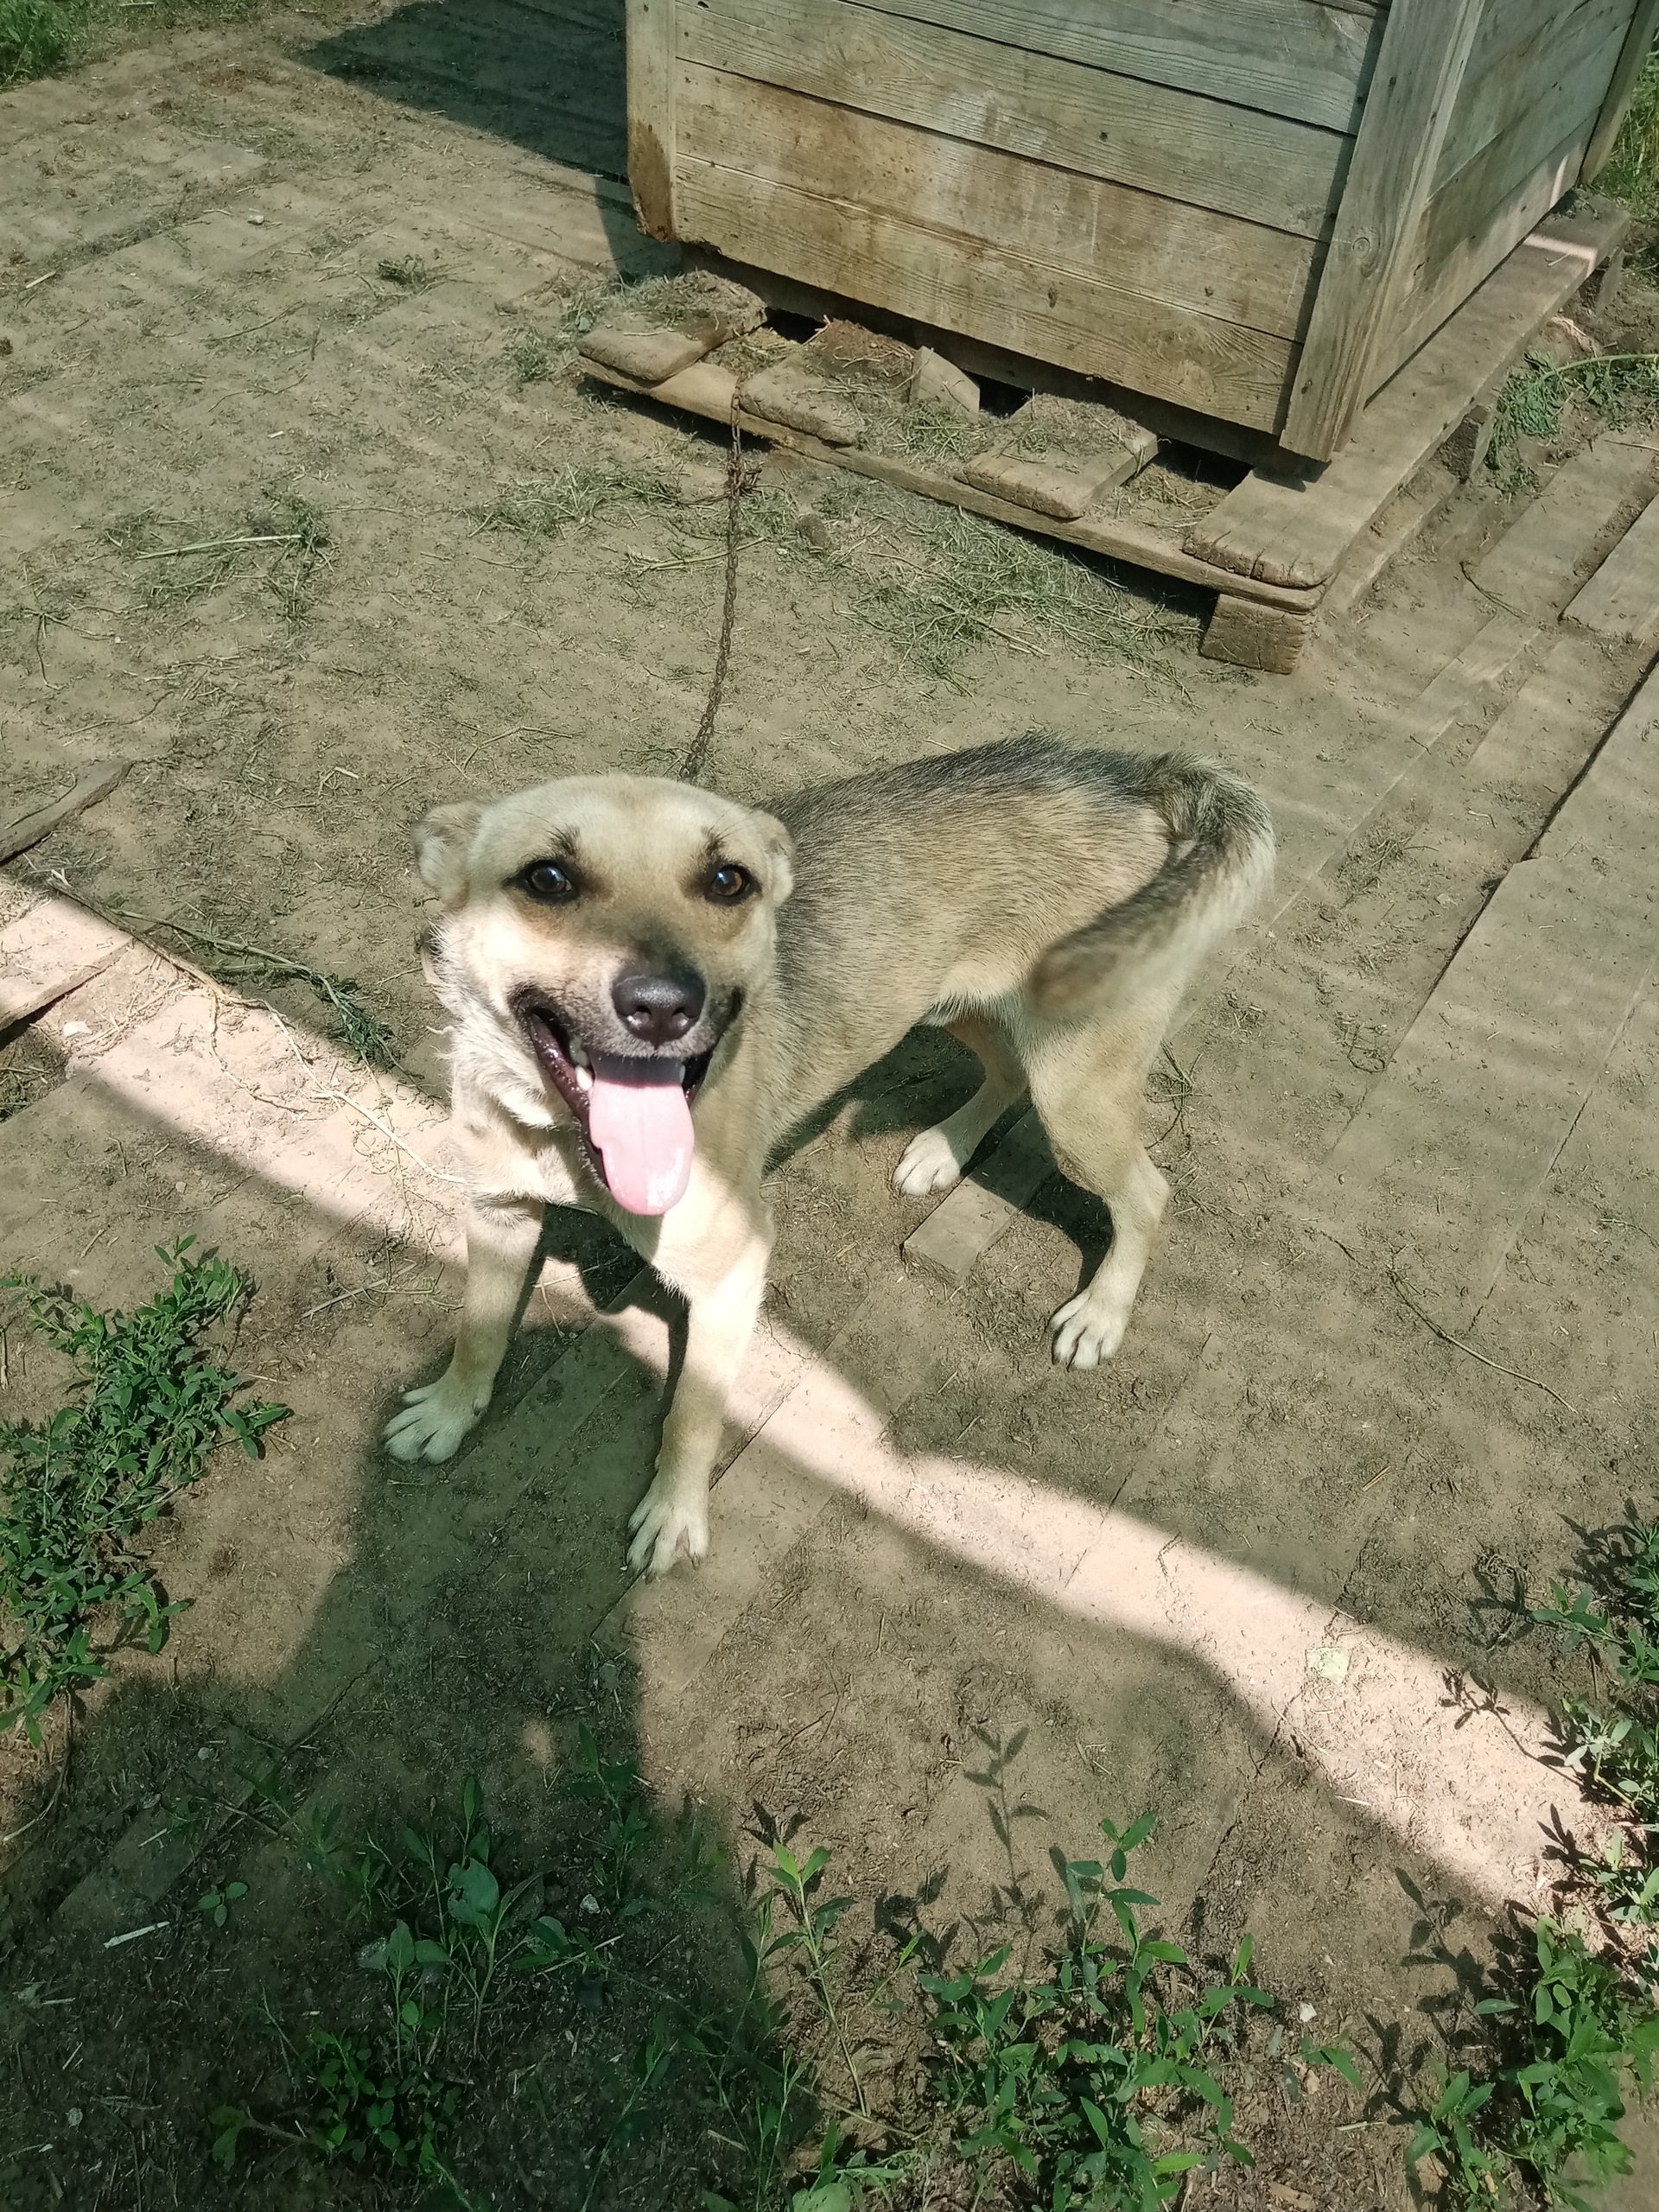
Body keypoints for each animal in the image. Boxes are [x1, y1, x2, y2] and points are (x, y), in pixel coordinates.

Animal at [384, 737, 1273, 1573]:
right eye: (549, 879)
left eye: (728, 881)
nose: (667, 1007)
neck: (565, 1133)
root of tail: (1126, 773)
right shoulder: (496, 1214)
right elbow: (479, 1328)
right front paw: (450, 1412)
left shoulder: (733, 1272)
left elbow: (693, 1413)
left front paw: (675, 1516)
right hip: (950, 1005)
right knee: (1006, 1069)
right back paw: (943, 1152)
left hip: (1076, 1091)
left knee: (1148, 1193)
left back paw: (1101, 1314)